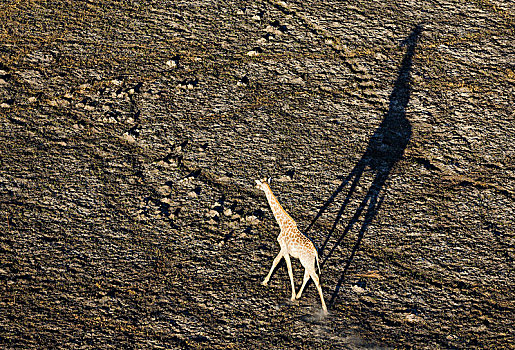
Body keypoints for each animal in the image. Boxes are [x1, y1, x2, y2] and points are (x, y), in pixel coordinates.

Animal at [256, 178, 328, 312]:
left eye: (260, 184)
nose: (255, 186)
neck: (282, 223)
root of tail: (315, 252)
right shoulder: (283, 248)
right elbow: (275, 261)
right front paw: (265, 281)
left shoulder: (284, 249)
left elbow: (289, 269)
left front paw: (292, 296)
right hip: (308, 261)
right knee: (308, 275)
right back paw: (300, 295)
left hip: (307, 261)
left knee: (315, 278)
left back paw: (324, 308)